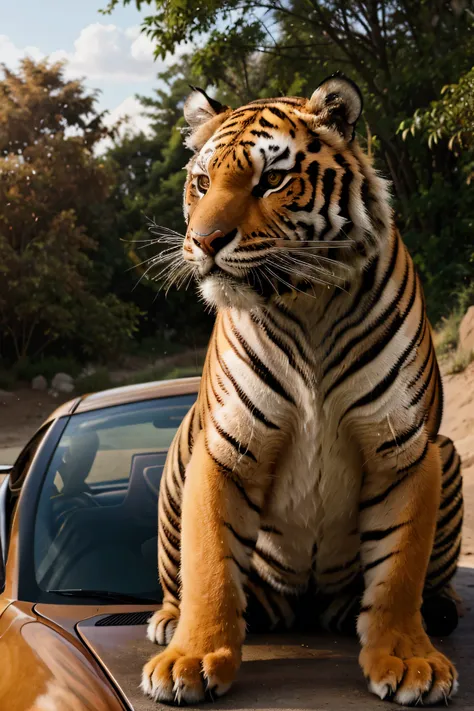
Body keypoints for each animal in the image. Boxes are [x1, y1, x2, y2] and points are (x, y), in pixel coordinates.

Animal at [140, 73, 462, 708]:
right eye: (201, 182)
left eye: (271, 180)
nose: (203, 240)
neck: (308, 303)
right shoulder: (227, 449)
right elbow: (210, 564)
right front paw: (191, 660)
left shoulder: (405, 450)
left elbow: (400, 569)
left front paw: (408, 660)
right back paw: (168, 620)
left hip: (449, 453)